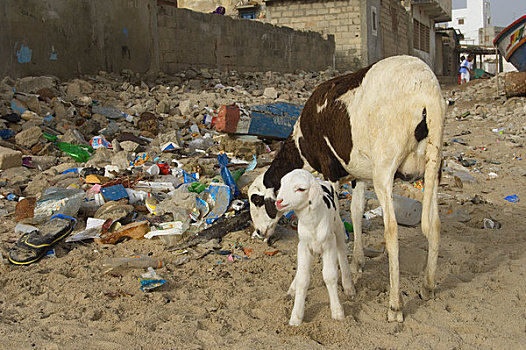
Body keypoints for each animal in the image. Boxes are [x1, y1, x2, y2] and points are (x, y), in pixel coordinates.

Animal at [276, 168, 354, 326]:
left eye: (300, 189)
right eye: (282, 184)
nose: (278, 201)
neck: (312, 223)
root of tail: (320, 180)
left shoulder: (329, 245)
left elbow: (330, 276)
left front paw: (337, 312)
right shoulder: (303, 246)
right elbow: (303, 278)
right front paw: (296, 317)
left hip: (338, 227)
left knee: (342, 251)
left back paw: (348, 286)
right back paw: (292, 287)